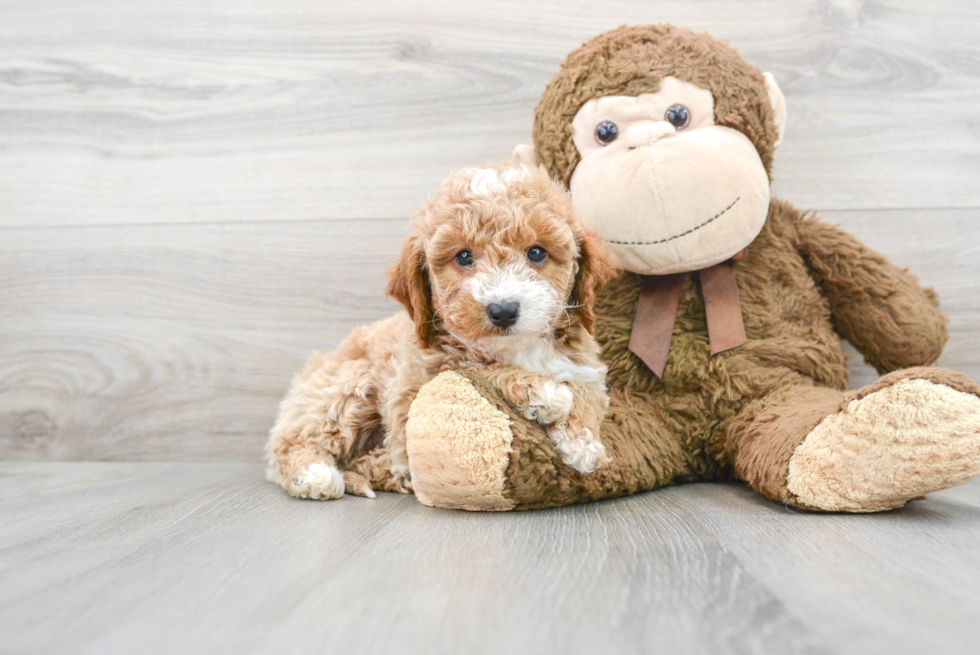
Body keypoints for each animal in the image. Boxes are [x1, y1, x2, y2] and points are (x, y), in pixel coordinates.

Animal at [266, 164, 620, 502]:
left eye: (536, 252)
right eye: (463, 256)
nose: (503, 310)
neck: (517, 349)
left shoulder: (585, 366)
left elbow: (587, 394)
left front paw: (584, 442)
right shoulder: (418, 381)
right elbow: (479, 368)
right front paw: (542, 391)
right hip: (346, 387)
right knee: (291, 442)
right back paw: (315, 475)